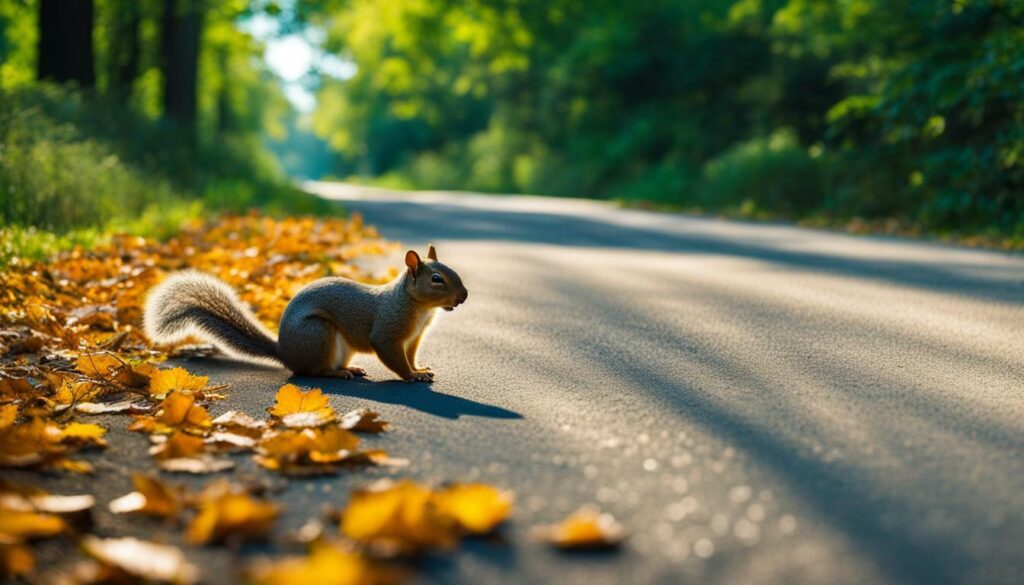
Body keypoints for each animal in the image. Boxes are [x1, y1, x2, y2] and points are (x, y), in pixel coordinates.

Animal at [141, 244, 468, 383]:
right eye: (436, 279)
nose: (463, 296)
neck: (419, 308)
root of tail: (285, 352)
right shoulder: (389, 330)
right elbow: (393, 356)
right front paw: (412, 376)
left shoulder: (413, 338)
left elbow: (410, 356)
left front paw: (419, 369)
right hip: (318, 333)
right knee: (313, 371)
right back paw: (338, 373)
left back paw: (351, 368)